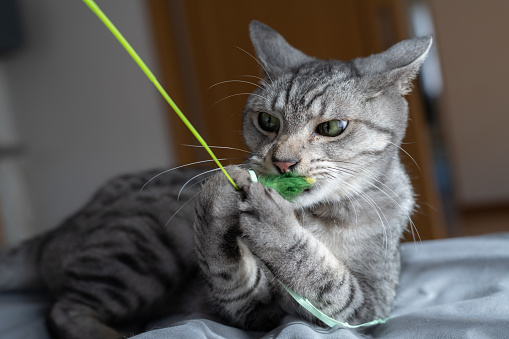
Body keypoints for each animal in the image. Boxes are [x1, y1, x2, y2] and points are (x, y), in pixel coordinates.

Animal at [0, 20, 428, 339]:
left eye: (333, 127)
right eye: (267, 121)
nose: (282, 161)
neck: (312, 218)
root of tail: (58, 232)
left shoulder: (367, 307)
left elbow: (322, 277)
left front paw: (272, 222)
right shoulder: (251, 311)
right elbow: (228, 272)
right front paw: (222, 193)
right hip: (143, 245)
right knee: (63, 310)